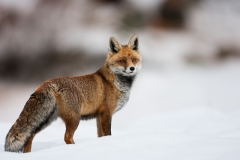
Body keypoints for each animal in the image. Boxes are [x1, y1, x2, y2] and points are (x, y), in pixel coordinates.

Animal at [4, 34, 142, 152]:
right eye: (122, 61)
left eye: (134, 59)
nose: (132, 68)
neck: (116, 83)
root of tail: (46, 82)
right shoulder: (106, 113)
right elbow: (108, 134)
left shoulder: (99, 115)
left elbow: (100, 136)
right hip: (74, 118)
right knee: (67, 138)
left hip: (46, 120)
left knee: (30, 135)